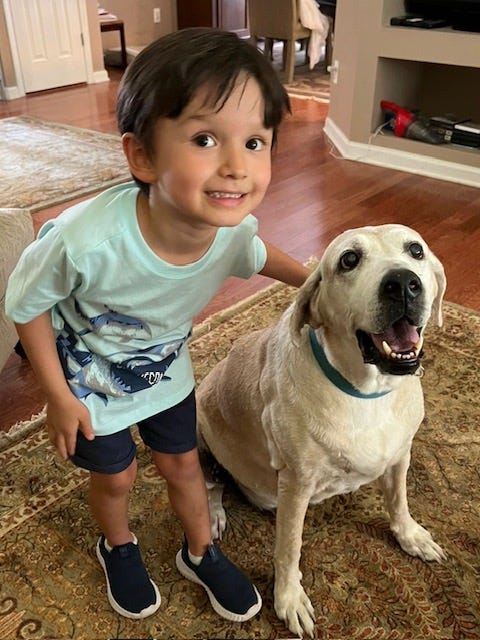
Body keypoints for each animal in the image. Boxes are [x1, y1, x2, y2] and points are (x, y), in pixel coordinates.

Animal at [196, 225, 446, 636]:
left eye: (416, 250)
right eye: (349, 259)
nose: (403, 284)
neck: (367, 392)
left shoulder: (400, 455)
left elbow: (398, 500)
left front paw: (409, 535)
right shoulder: (295, 483)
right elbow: (289, 547)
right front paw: (289, 599)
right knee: (210, 484)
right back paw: (213, 513)